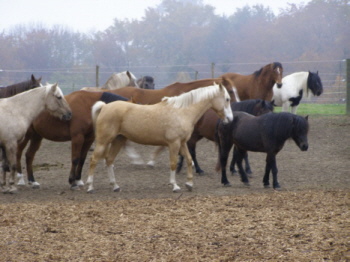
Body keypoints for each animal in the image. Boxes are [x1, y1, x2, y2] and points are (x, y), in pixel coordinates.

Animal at [85, 83, 234, 192]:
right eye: (227, 99)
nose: (230, 119)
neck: (182, 112)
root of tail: (104, 107)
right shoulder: (174, 144)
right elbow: (173, 163)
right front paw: (175, 186)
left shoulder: (182, 143)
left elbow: (189, 160)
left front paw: (189, 184)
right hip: (104, 141)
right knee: (94, 160)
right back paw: (90, 186)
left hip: (118, 140)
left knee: (109, 160)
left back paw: (115, 186)